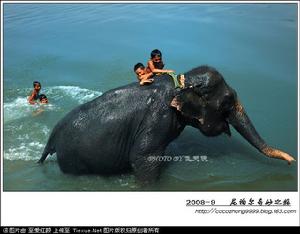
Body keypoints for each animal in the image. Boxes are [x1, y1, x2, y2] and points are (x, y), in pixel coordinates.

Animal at [38, 65, 296, 184]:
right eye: (226, 102)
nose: (292, 160)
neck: (181, 84)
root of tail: (51, 138)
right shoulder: (158, 118)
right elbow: (143, 157)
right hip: (73, 160)